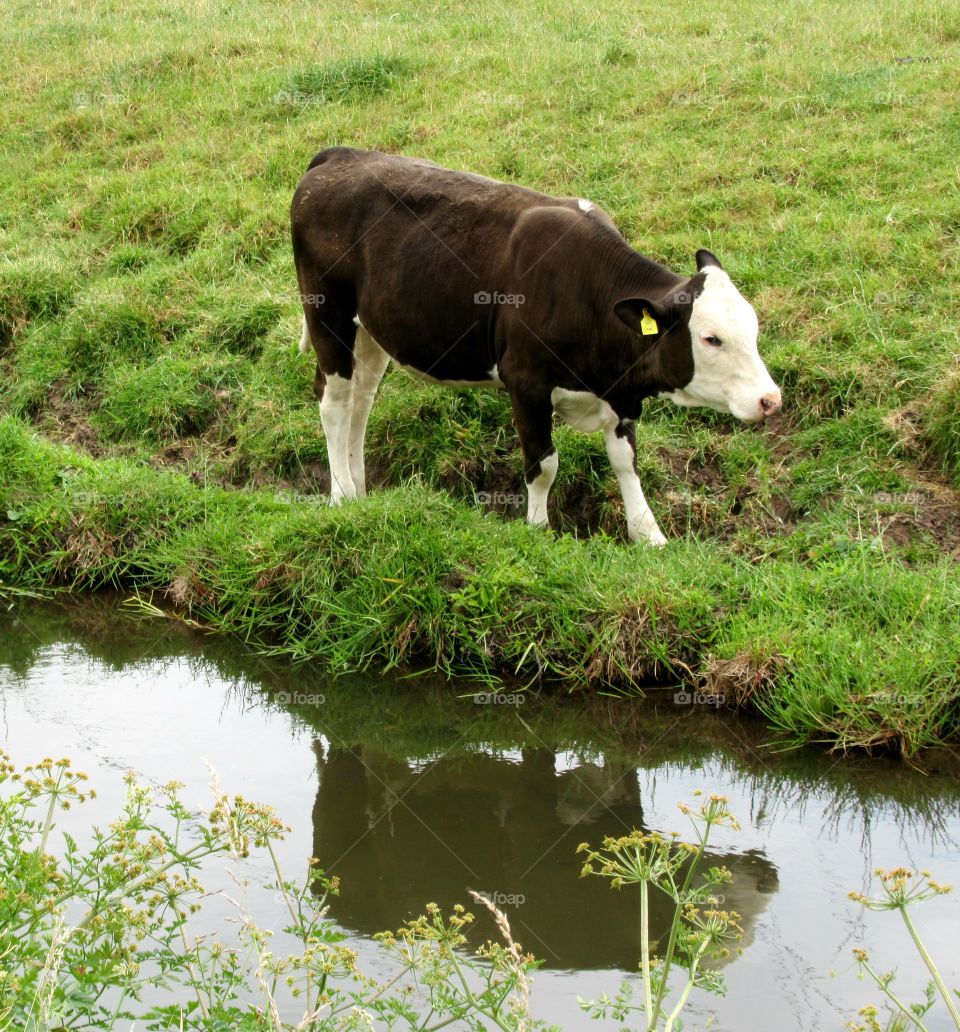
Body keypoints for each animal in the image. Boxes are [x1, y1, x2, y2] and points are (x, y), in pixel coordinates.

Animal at [291, 147, 781, 545]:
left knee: (361, 400)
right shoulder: (525, 381)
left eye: (754, 328)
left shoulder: (619, 390)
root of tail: (340, 155)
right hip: (327, 313)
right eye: (711, 338)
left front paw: (649, 534)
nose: (770, 399)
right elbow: (543, 465)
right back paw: (340, 494)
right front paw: (539, 529)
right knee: (334, 402)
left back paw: (360, 490)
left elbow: (626, 461)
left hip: (370, 330)